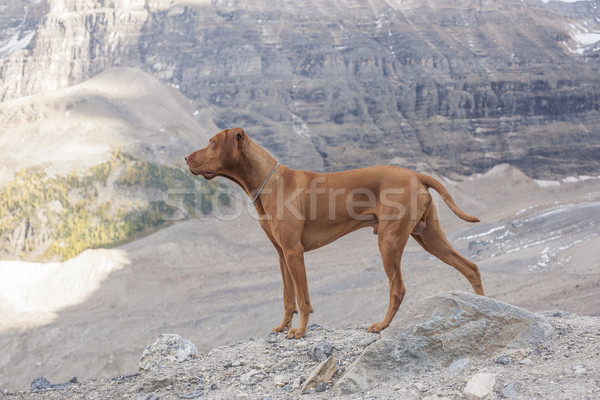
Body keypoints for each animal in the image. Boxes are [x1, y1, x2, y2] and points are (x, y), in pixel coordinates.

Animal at [185, 127, 486, 338]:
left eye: (212, 143)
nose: (186, 157)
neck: (270, 182)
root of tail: (416, 174)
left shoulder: (294, 252)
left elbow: (303, 298)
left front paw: (300, 330)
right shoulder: (281, 254)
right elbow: (287, 297)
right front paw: (283, 326)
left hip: (388, 242)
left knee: (398, 289)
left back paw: (381, 325)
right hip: (428, 237)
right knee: (470, 268)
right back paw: (485, 305)